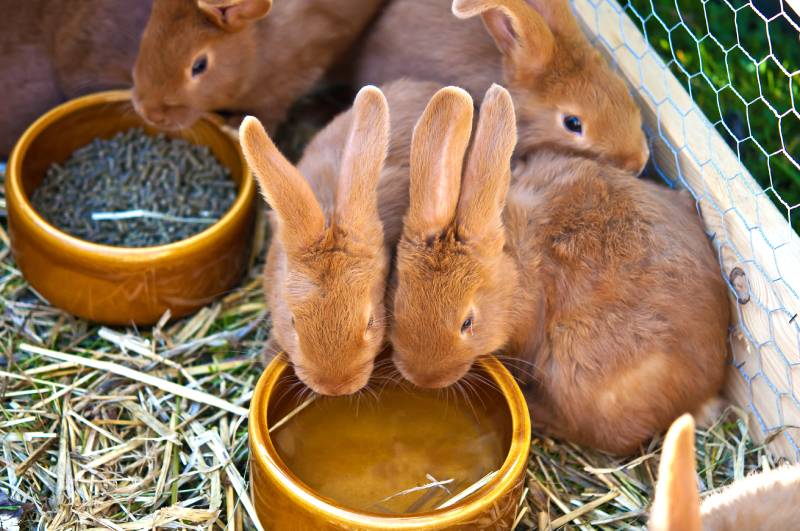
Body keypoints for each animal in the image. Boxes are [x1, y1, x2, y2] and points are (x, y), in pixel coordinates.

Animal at [389, 84, 728, 454]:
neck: (516, 269)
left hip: (580, 371)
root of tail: (706, 389)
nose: (422, 377)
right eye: (397, 301)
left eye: (468, 322)